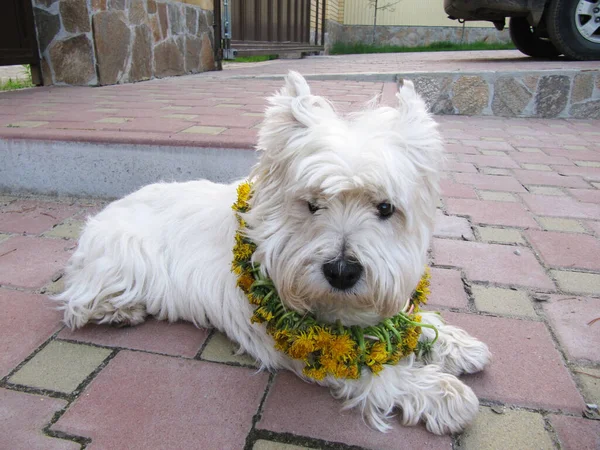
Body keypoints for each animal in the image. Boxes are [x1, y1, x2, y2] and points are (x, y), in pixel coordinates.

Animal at [54, 72, 490, 434]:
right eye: (313, 204)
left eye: (385, 208)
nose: (342, 272)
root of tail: (107, 210)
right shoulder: (303, 344)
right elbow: (373, 372)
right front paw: (444, 394)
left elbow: (410, 321)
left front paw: (456, 344)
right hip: (126, 260)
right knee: (79, 302)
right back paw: (119, 311)